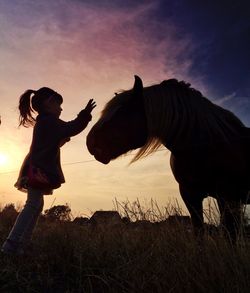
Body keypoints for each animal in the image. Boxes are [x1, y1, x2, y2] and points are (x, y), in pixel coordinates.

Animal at [86, 74, 250, 237]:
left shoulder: (228, 197)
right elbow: (199, 233)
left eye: (123, 110)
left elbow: (231, 234)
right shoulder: (190, 195)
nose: (90, 142)